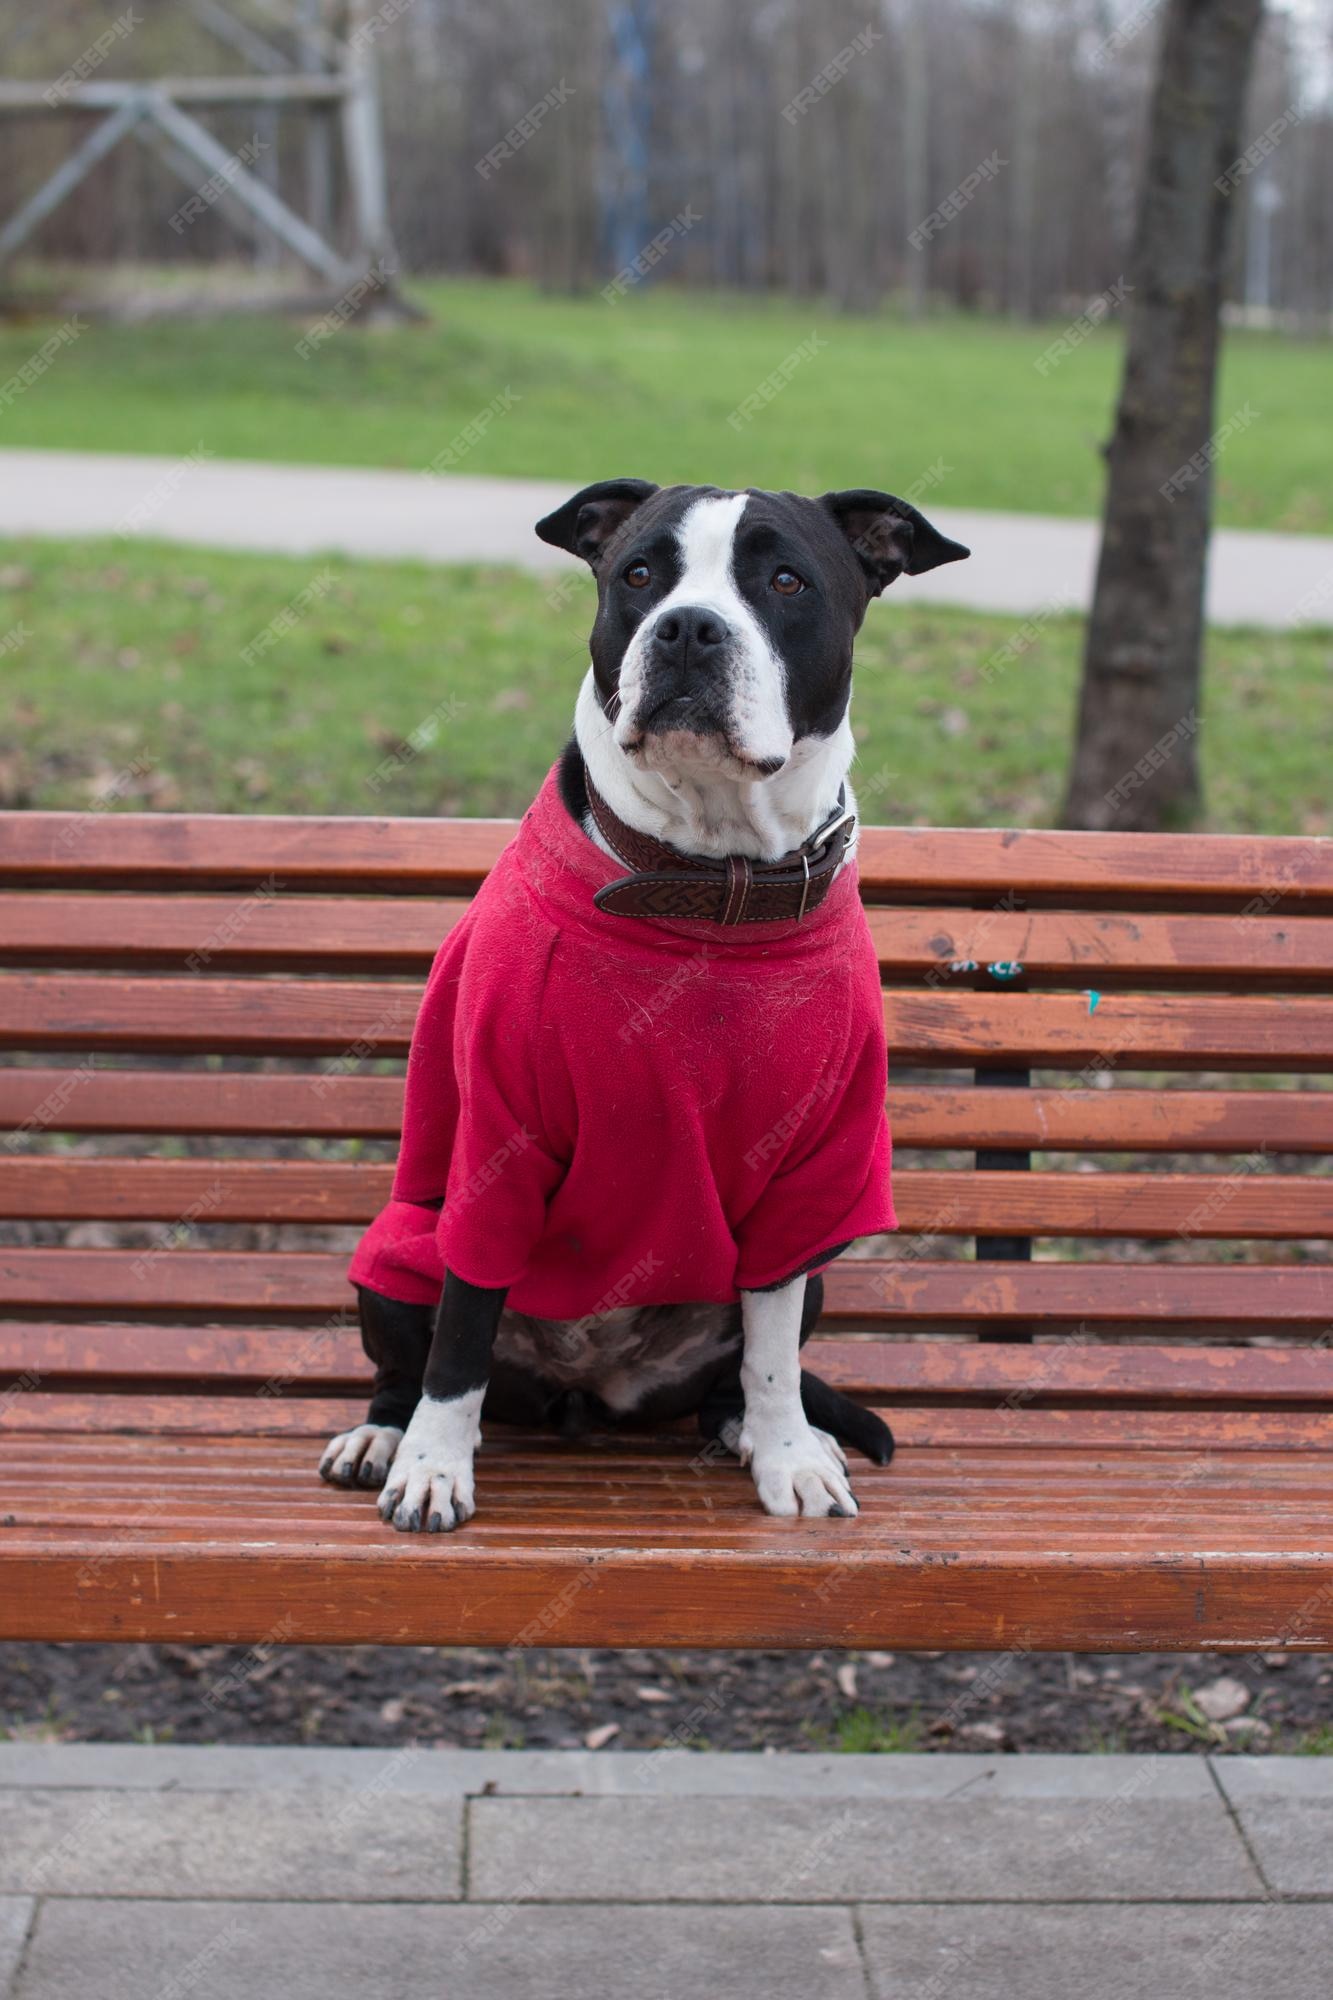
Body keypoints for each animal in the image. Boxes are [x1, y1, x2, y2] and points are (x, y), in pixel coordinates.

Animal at [322, 480, 964, 1528]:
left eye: (785, 580)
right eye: (637, 574)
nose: (688, 628)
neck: (707, 882)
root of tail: (587, 1392)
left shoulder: (810, 1178)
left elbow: (773, 1356)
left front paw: (788, 1455)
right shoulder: (497, 1147)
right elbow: (457, 1341)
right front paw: (432, 1466)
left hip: (810, 1273)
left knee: (734, 1374)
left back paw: (750, 1431)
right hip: (398, 1244)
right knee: (410, 1360)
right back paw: (382, 1435)